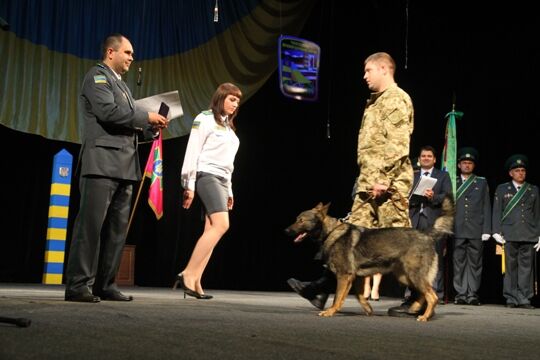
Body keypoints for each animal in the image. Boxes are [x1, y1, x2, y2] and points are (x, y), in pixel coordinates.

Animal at [284, 195, 454, 322]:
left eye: (301, 220)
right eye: (296, 219)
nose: (286, 231)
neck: (331, 231)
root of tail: (426, 234)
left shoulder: (344, 275)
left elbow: (337, 297)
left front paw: (331, 311)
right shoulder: (355, 277)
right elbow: (359, 297)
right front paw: (368, 309)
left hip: (414, 275)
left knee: (432, 296)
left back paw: (424, 316)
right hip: (405, 276)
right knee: (422, 295)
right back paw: (415, 309)